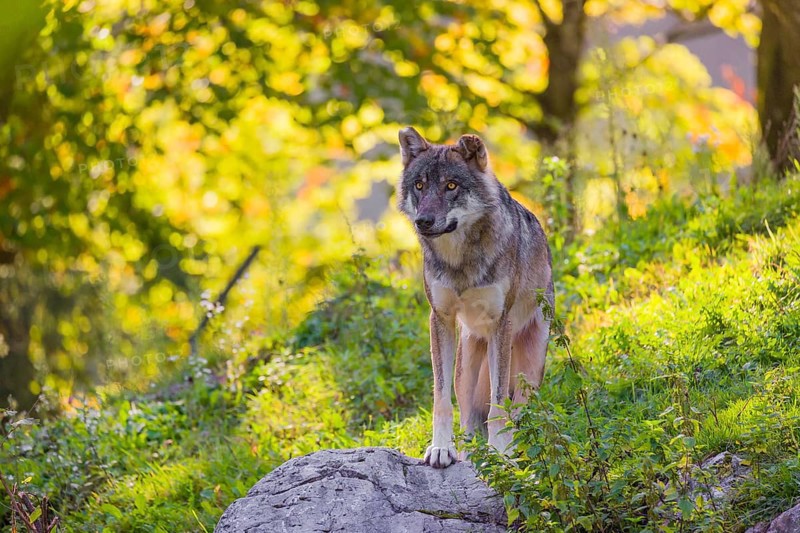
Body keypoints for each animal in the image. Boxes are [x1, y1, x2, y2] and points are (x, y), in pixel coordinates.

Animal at [397, 127, 554, 468]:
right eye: (419, 186)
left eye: (451, 186)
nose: (423, 221)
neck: (460, 260)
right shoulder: (440, 319)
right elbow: (441, 399)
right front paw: (440, 448)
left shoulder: (500, 324)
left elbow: (498, 405)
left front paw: (500, 455)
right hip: (466, 365)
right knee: (468, 419)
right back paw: (468, 455)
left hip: (531, 368)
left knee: (517, 412)